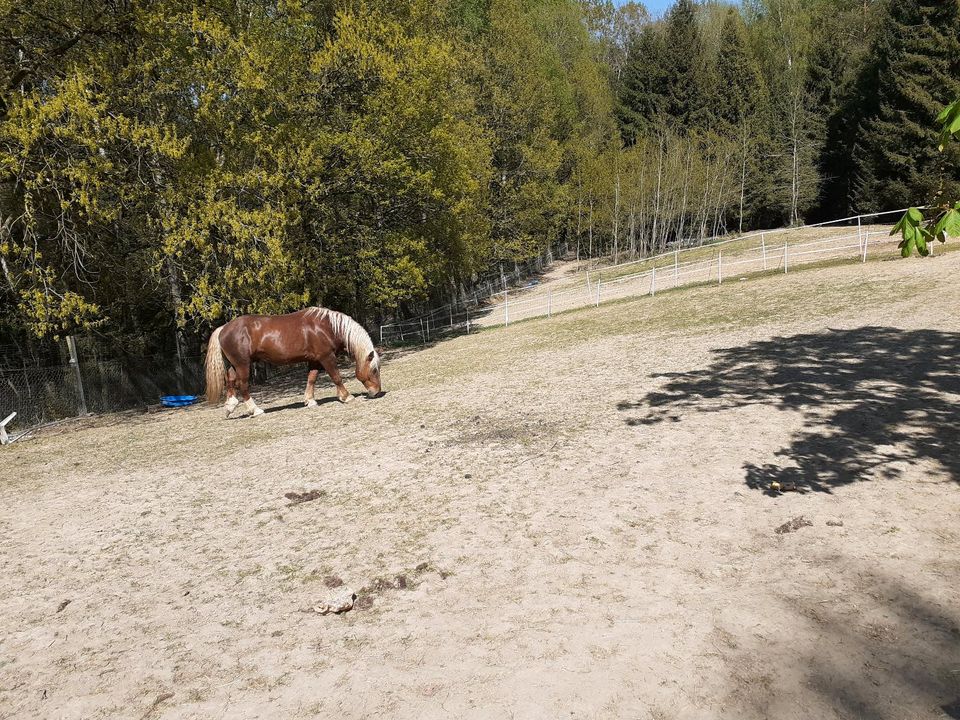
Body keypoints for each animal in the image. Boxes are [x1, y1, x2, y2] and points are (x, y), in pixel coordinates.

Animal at [204, 308, 380, 416]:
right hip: (243, 364)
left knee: (230, 381)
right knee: (243, 385)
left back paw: (230, 406)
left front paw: (310, 400)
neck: (327, 327)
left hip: (235, 365)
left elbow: (311, 379)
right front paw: (346, 396)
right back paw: (255, 410)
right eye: (374, 370)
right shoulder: (326, 357)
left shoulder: (314, 360)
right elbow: (336, 377)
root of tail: (223, 328)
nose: (376, 392)